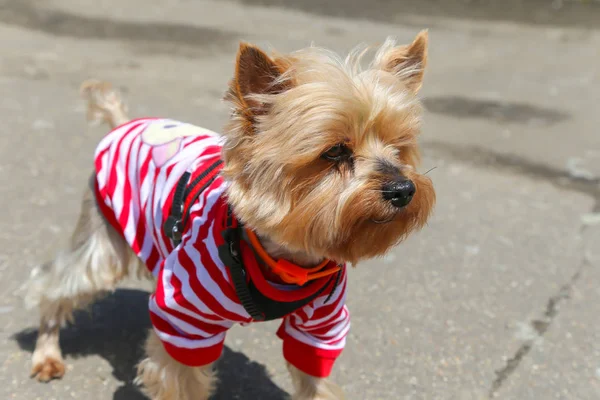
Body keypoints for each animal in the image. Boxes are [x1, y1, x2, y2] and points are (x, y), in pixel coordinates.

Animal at [23, 32, 436, 400]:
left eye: (399, 146)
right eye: (334, 151)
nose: (403, 190)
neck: (287, 258)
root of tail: (124, 123)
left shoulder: (321, 325)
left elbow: (314, 378)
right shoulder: (186, 317)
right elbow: (180, 375)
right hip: (101, 238)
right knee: (54, 284)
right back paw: (46, 355)